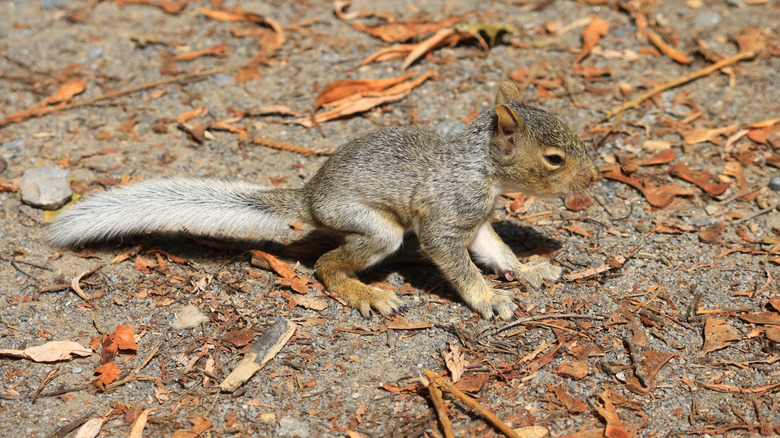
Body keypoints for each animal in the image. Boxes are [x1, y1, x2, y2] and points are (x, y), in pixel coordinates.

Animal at [48, 80, 599, 320]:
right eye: (554, 159)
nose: (594, 178)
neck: (482, 170)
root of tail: (311, 198)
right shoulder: (447, 217)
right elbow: (456, 262)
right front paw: (488, 299)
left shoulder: (478, 221)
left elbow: (495, 250)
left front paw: (527, 270)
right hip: (375, 228)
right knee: (327, 266)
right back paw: (366, 293)